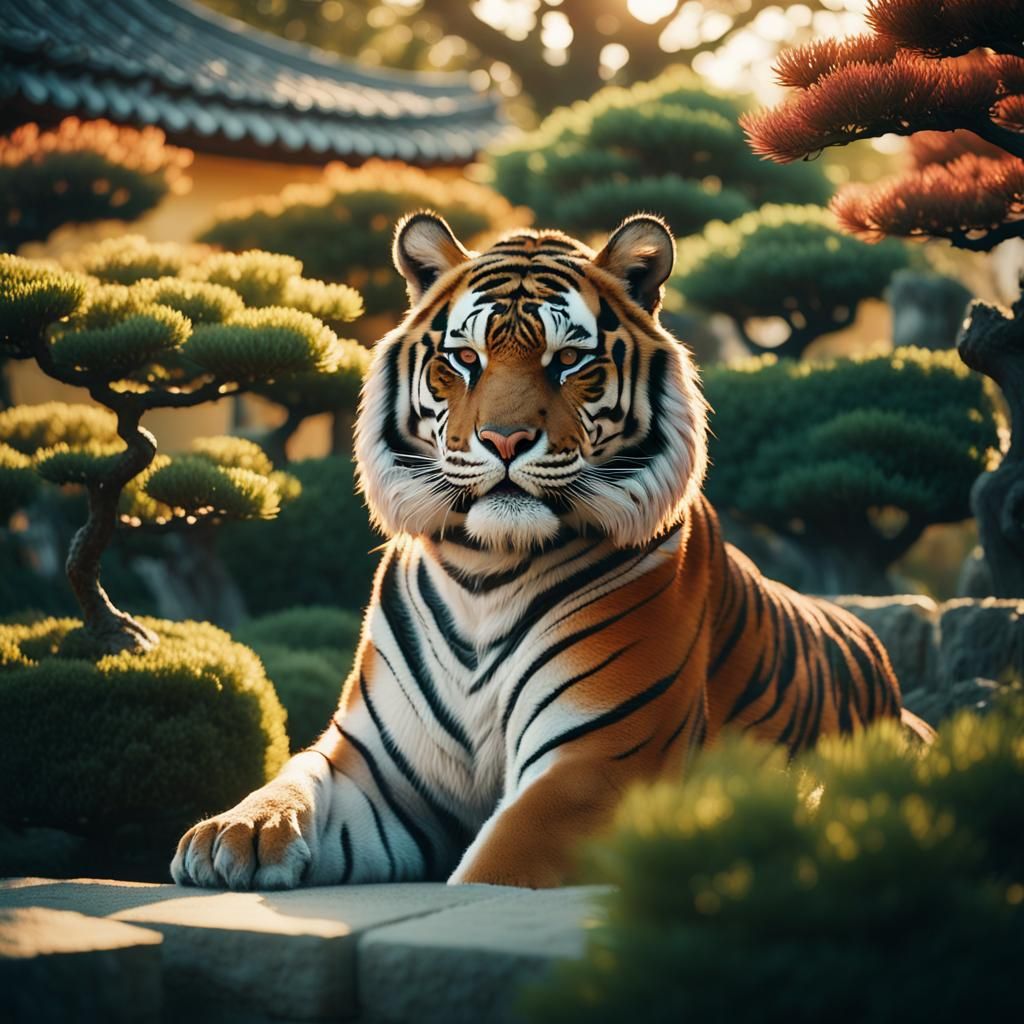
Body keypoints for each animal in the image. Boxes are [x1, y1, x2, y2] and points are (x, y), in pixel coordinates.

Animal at [171, 211, 931, 891]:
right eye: (466, 358)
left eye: (567, 361)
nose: (504, 439)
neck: (483, 569)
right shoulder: (375, 768)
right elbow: (297, 777)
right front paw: (236, 833)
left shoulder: (597, 763)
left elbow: (492, 866)